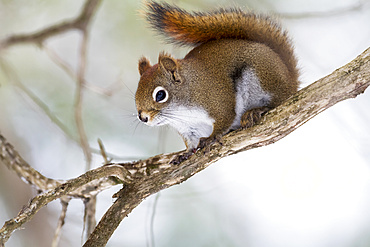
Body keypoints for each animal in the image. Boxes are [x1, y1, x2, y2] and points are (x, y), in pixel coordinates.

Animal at [134, 1, 300, 158]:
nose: (143, 117)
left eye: (160, 95)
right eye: (135, 94)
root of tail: (290, 78)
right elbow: (191, 144)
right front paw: (185, 154)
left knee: (279, 101)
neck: (182, 112)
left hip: (262, 77)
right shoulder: (189, 130)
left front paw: (211, 138)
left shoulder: (218, 101)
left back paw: (257, 110)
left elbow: (224, 118)